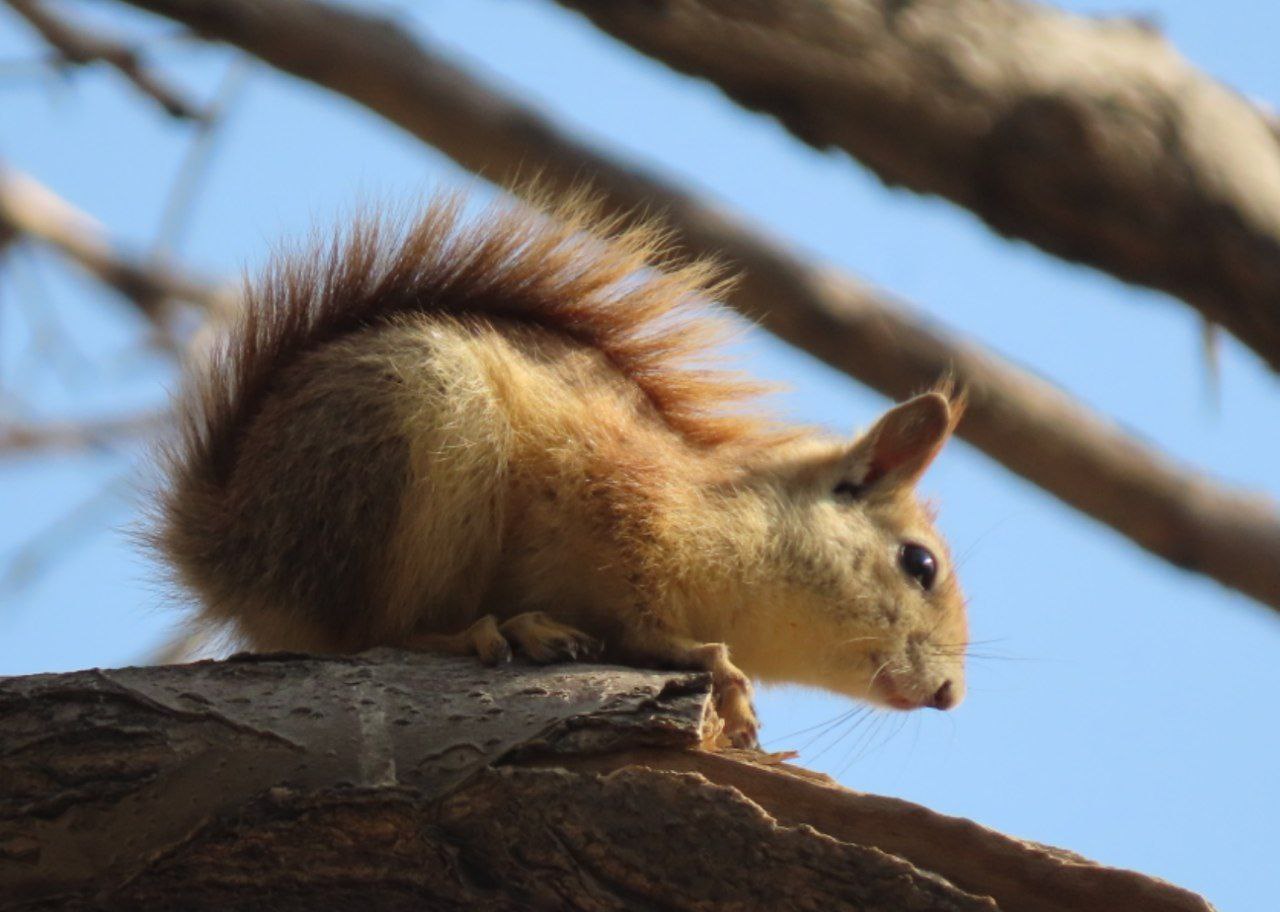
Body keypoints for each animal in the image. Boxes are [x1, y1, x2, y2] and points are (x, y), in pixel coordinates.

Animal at [154, 194, 962, 748]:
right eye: (918, 563)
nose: (951, 696)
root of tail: (231, 550)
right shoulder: (618, 498)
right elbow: (641, 613)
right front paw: (705, 663)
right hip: (418, 456)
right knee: (379, 632)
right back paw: (493, 634)